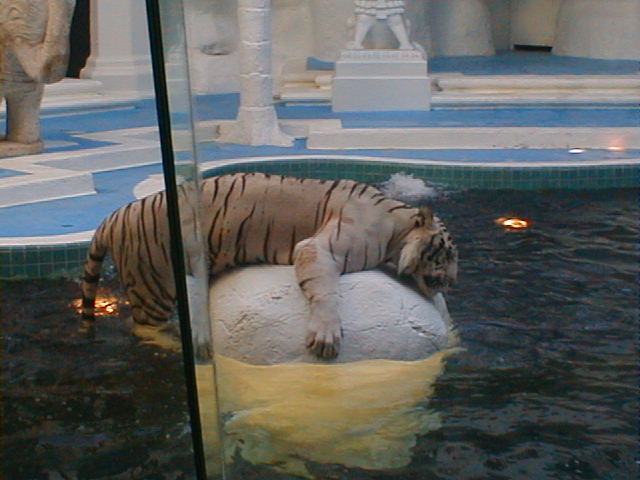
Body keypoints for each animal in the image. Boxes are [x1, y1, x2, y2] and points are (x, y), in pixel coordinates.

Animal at [81, 172, 458, 359]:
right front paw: (325, 336)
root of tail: (114, 216)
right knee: (142, 328)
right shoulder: (318, 248)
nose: (453, 282)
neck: (398, 229)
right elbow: (324, 291)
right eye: (447, 254)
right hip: (153, 284)